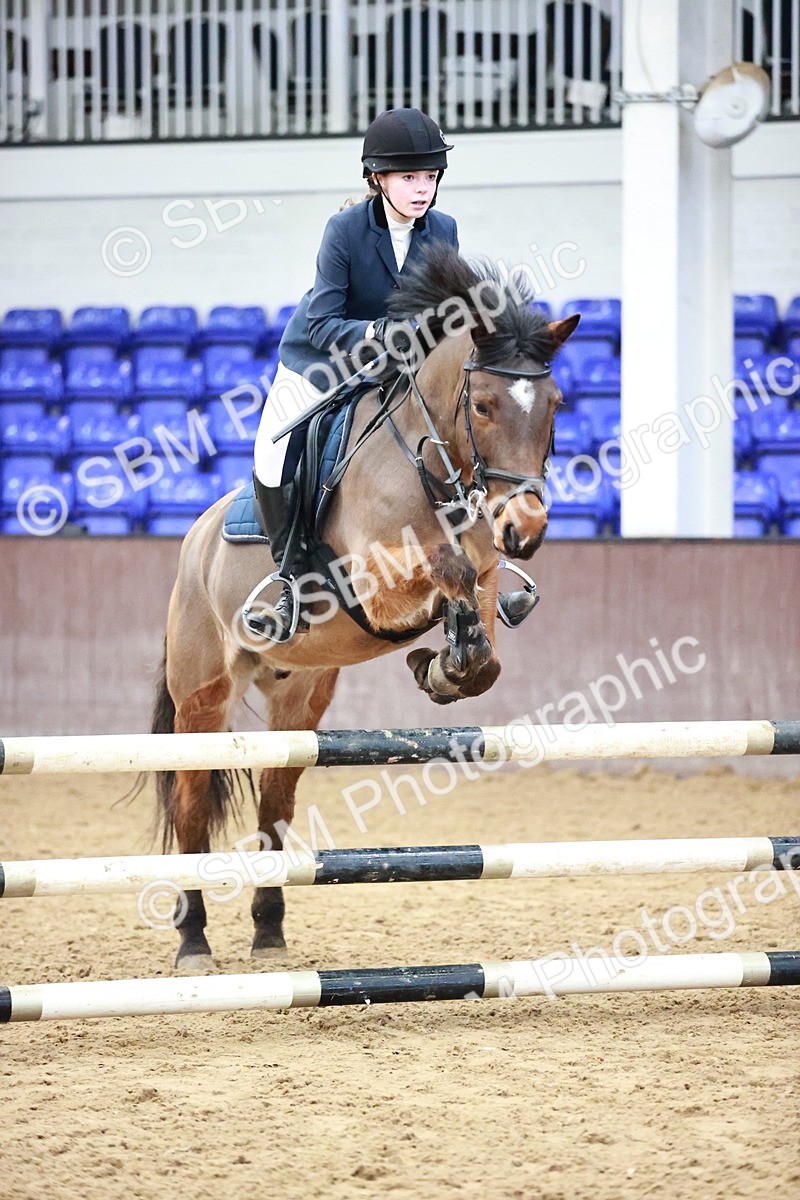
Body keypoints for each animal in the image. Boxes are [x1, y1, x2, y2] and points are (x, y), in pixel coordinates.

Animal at [150, 244, 579, 969]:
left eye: (555, 404)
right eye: (484, 405)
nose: (525, 528)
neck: (432, 465)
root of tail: (194, 542)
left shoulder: (487, 572)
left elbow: (484, 637)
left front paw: (447, 666)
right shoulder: (373, 584)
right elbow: (443, 569)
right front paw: (445, 653)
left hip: (299, 700)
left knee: (274, 806)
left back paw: (269, 932)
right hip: (201, 697)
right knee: (191, 809)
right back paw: (194, 940)